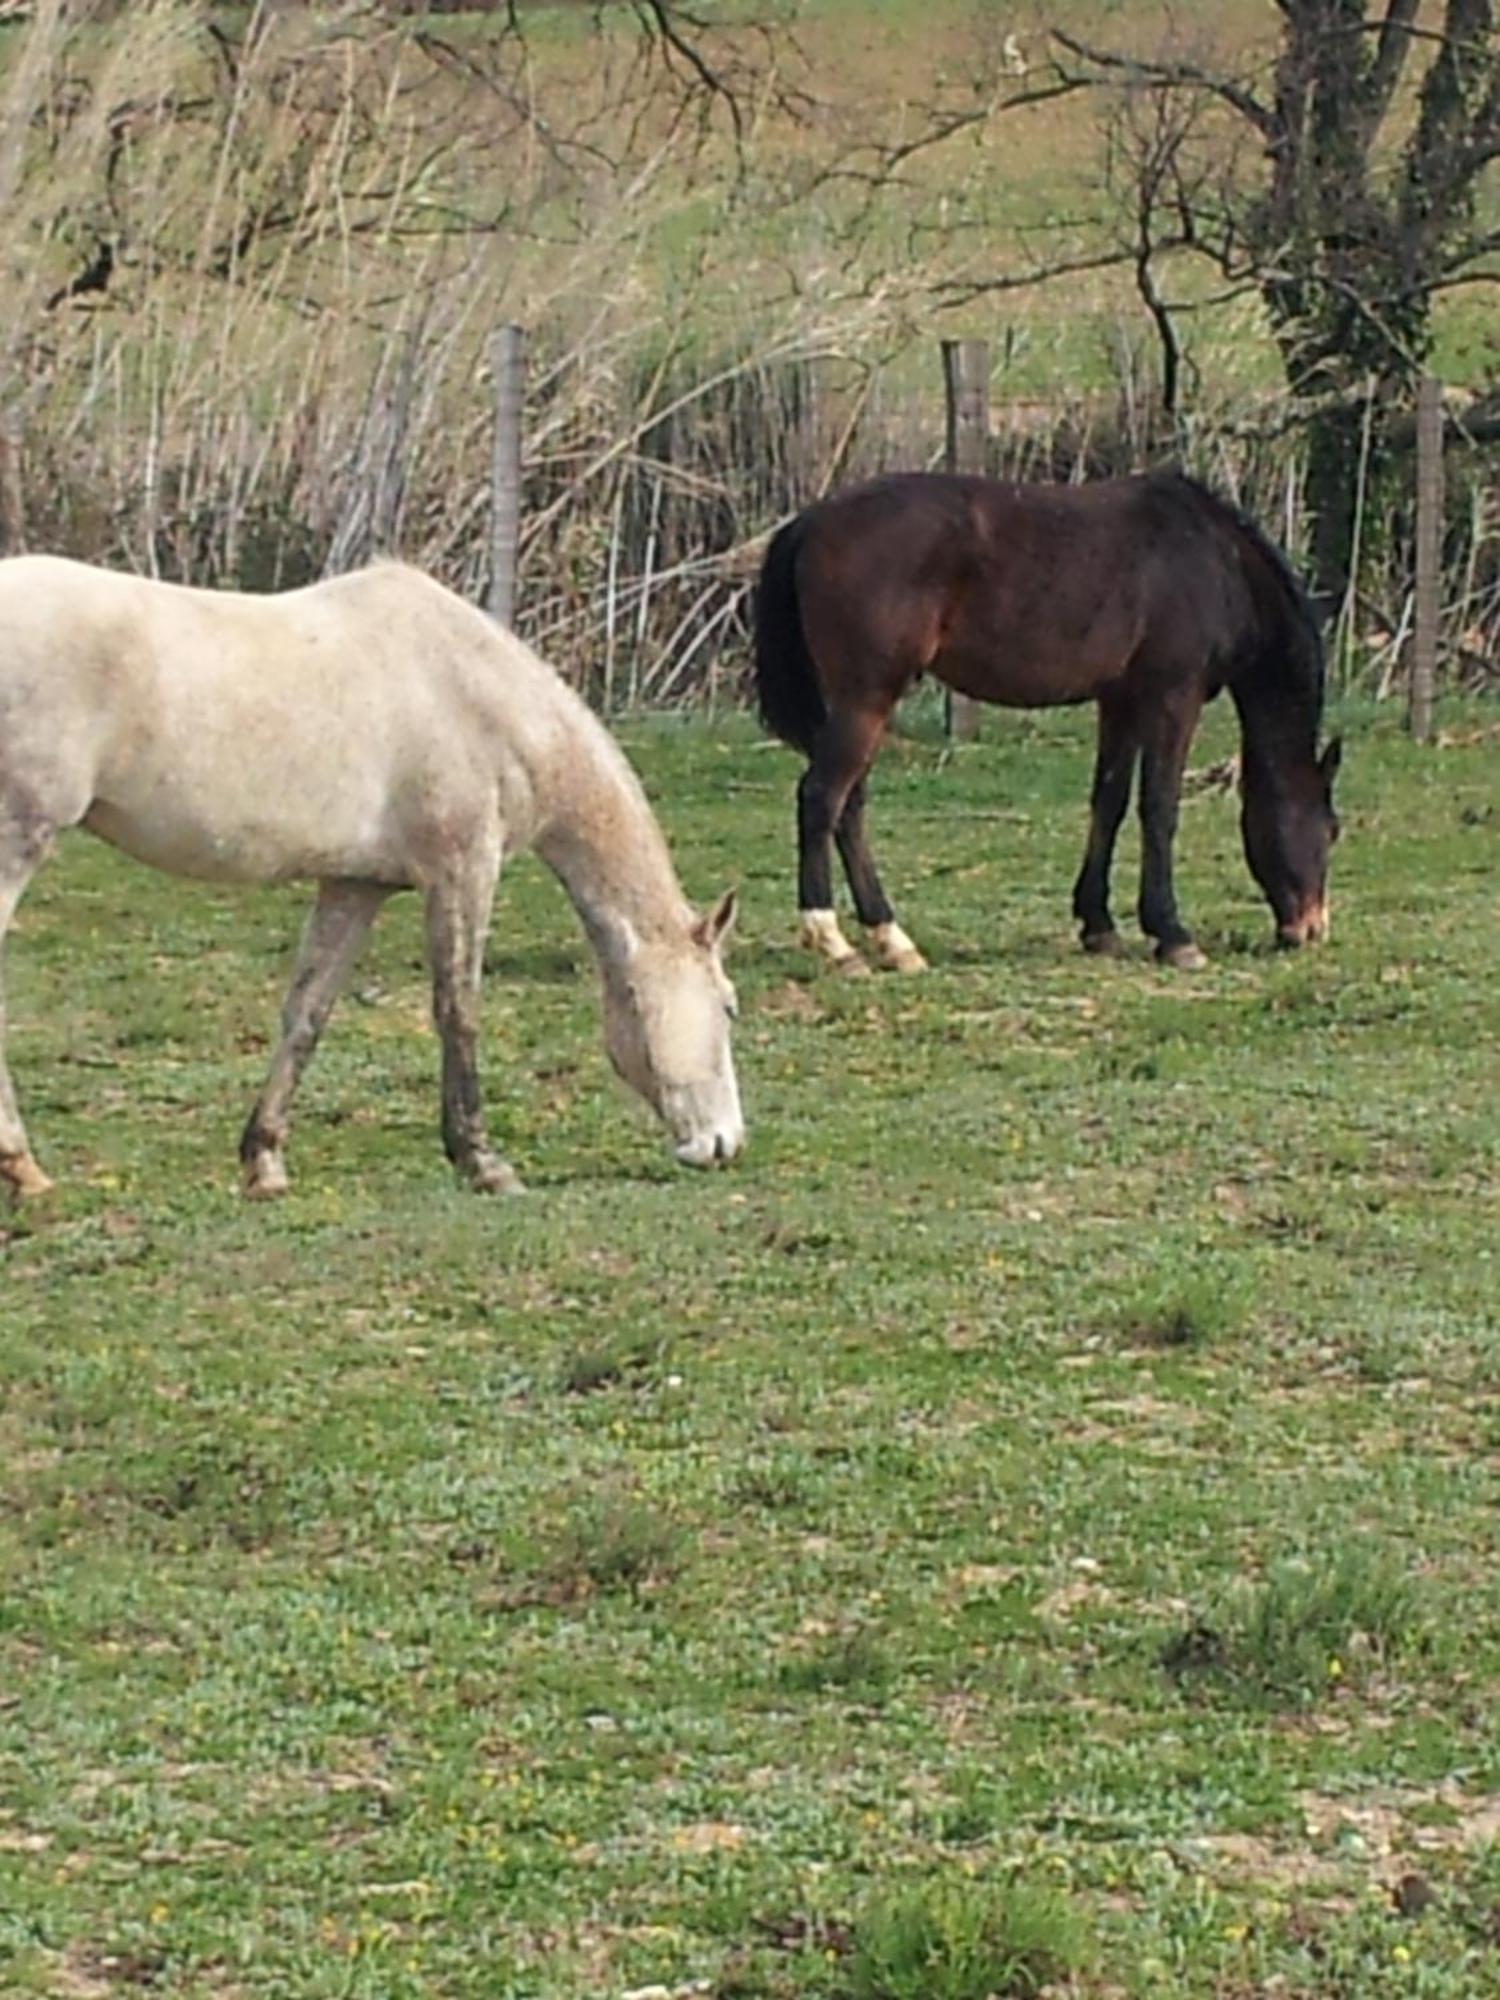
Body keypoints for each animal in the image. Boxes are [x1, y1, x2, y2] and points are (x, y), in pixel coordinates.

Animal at [0, 556, 748, 1192]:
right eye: (729, 1005)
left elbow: (307, 1012)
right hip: (19, 842)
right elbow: (458, 1011)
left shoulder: (356, 887)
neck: (478, 694)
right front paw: (482, 1162)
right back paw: (25, 1169)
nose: (723, 1144)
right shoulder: (461, 872)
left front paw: (264, 1161)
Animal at [756, 468, 1344, 968]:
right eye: (1329, 829)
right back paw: (834, 941)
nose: (1311, 929)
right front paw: (1173, 935)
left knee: (848, 807)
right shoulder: (1173, 696)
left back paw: (891, 940)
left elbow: (1109, 802)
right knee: (821, 799)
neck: (1213, 560)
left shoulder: (1120, 700)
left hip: (854, 707)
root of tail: (812, 522)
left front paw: (1099, 925)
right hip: (865, 701)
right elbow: (1158, 808)